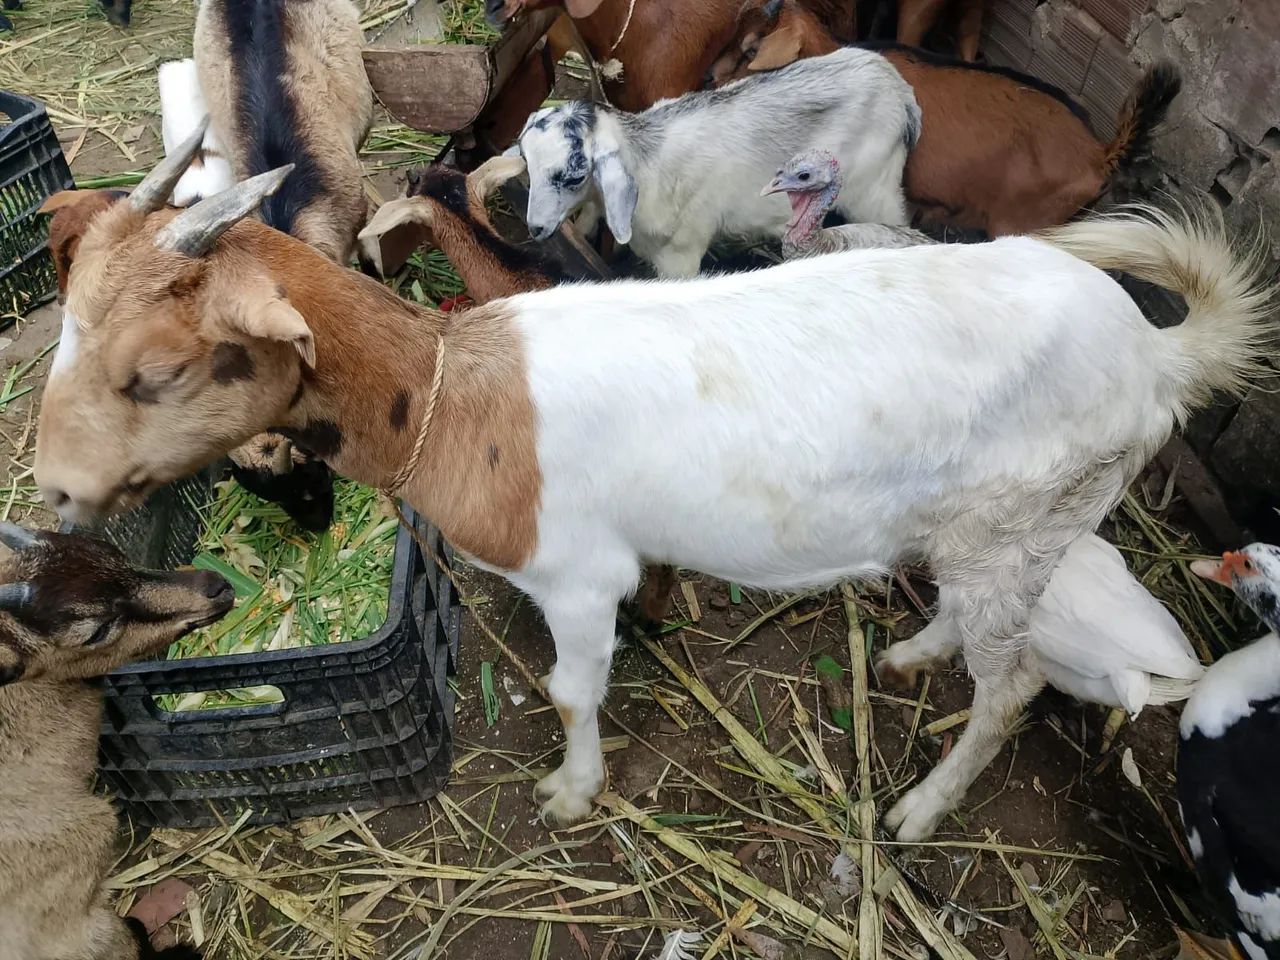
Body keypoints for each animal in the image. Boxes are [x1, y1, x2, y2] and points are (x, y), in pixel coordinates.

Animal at [32, 144, 1274, 840]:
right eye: (69, 330)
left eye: (158, 371)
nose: (52, 492)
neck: (452, 393)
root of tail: (1157, 353)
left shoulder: (574, 576)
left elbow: (571, 689)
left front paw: (571, 792)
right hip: (1009, 531)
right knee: (976, 624)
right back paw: (913, 655)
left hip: (1025, 519)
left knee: (1011, 684)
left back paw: (921, 809)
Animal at [516, 46, 920, 277]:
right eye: (526, 162)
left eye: (573, 176)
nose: (535, 228)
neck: (649, 164)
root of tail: (899, 88)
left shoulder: (682, 255)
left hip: (874, 189)